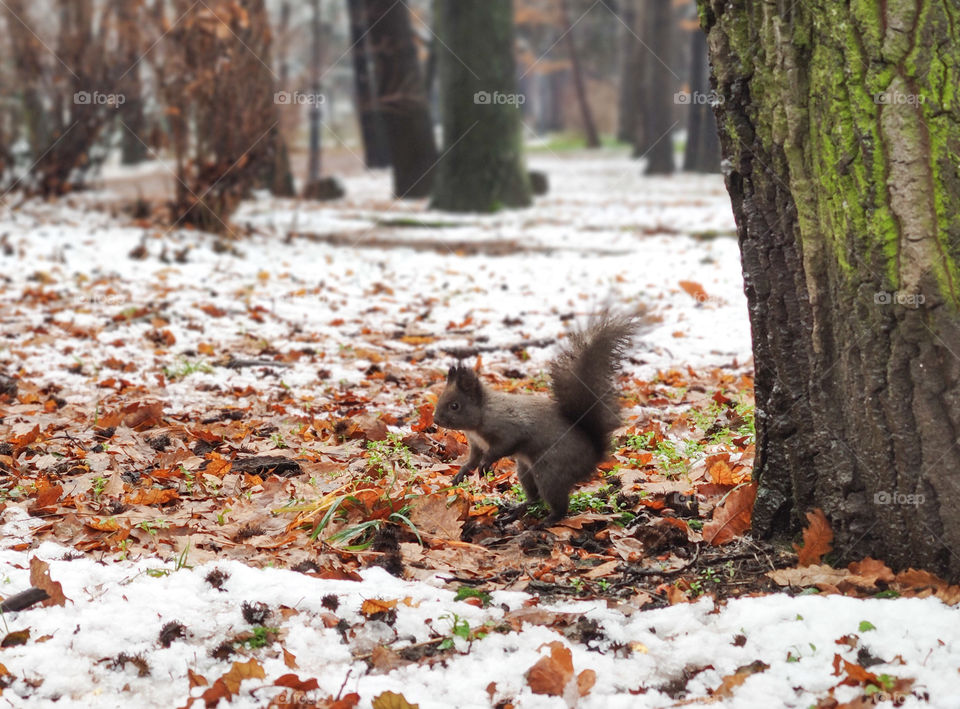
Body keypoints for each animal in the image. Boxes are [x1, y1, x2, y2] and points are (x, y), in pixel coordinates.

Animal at [436, 312, 636, 524]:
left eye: (455, 406)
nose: (436, 420)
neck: (481, 416)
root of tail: (593, 455)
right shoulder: (476, 444)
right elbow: (473, 459)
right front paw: (462, 473)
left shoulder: (508, 428)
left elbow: (502, 446)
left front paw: (486, 464)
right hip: (525, 471)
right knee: (534, 497)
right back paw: (517, 508)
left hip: (549, 472)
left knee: (557, 503)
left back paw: (547, 521)